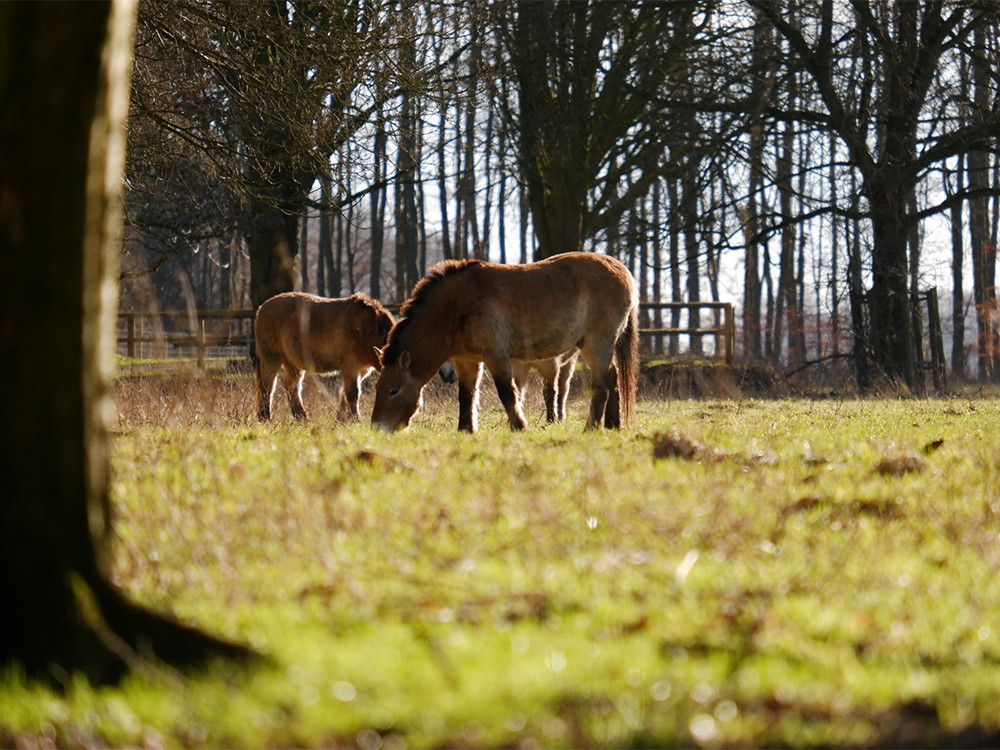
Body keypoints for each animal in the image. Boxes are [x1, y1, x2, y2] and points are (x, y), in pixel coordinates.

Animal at [254, 292, 394, 424]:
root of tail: (261, 308)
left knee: (291, 386)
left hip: (292, 363)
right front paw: (356, 420)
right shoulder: (351, 368)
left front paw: (341, 420)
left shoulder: (362, 370)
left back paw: (302, 418)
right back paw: (265, 419)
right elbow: (353, 394)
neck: (366, 328)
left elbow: (344, 393)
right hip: (271, 358)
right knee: (267, 387)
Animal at [372, 253, 636, 432]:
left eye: (393, 390)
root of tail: (622, 270)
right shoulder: (466, 360)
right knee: (612, 379)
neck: (458, 306)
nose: (378, 427)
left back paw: (591, 427)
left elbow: (507, 393)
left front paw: (519, 426)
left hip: (596, 345)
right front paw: (465, 430)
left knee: (601, 384)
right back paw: (613, 425)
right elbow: (466, 395)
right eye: (378, 388)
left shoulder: (496, 356)